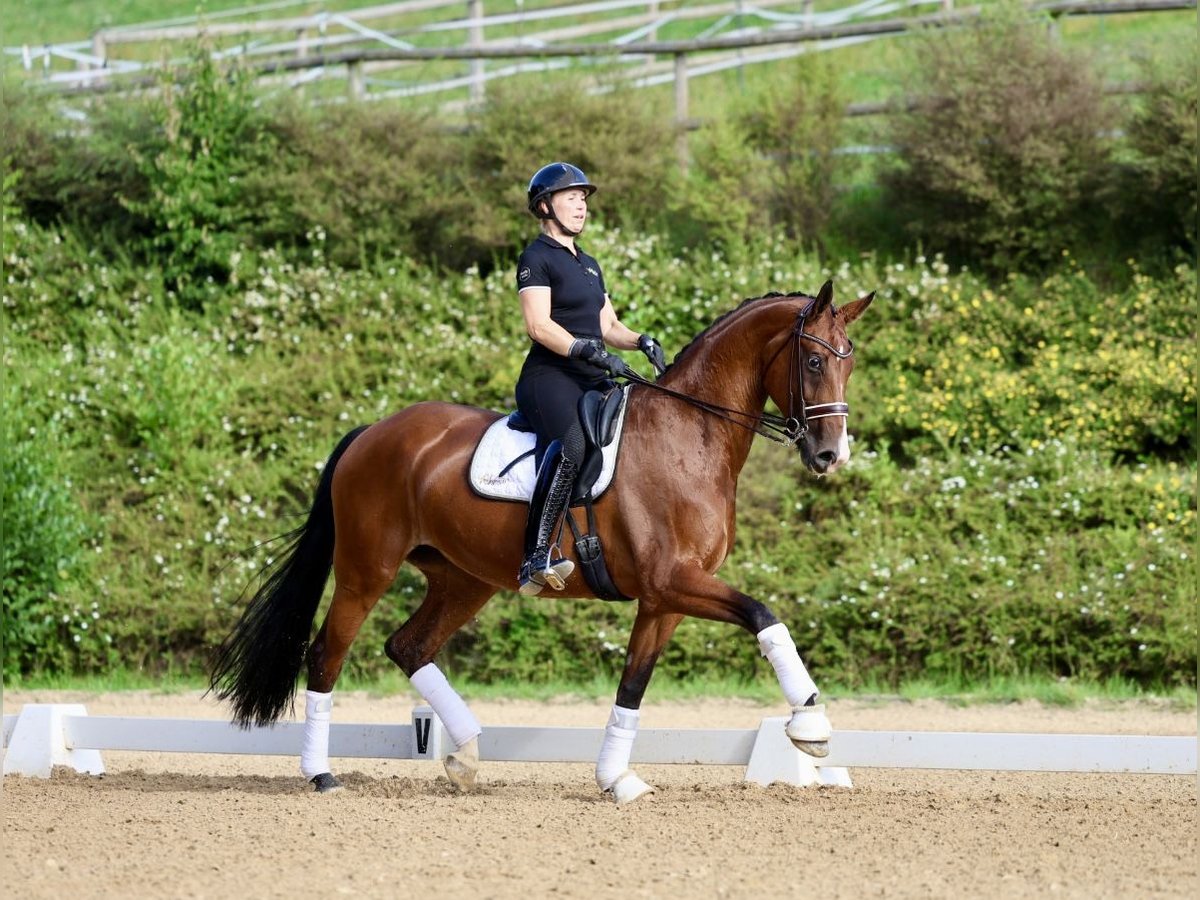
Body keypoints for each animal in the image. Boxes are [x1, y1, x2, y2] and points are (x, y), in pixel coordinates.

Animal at [211, 280, 878, 801]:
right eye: (813, 363)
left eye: (849, 363)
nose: (830, 456)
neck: (690, 433)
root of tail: (373, 430)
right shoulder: (673, 581)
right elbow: (766, 615)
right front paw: (811, 726)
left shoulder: (663, 598)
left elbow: (633, 684)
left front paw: (617, 779)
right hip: (365, 569)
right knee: (328, 653)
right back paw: (321, 774)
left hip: (464, 580)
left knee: (407, 646)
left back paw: (464, 755)